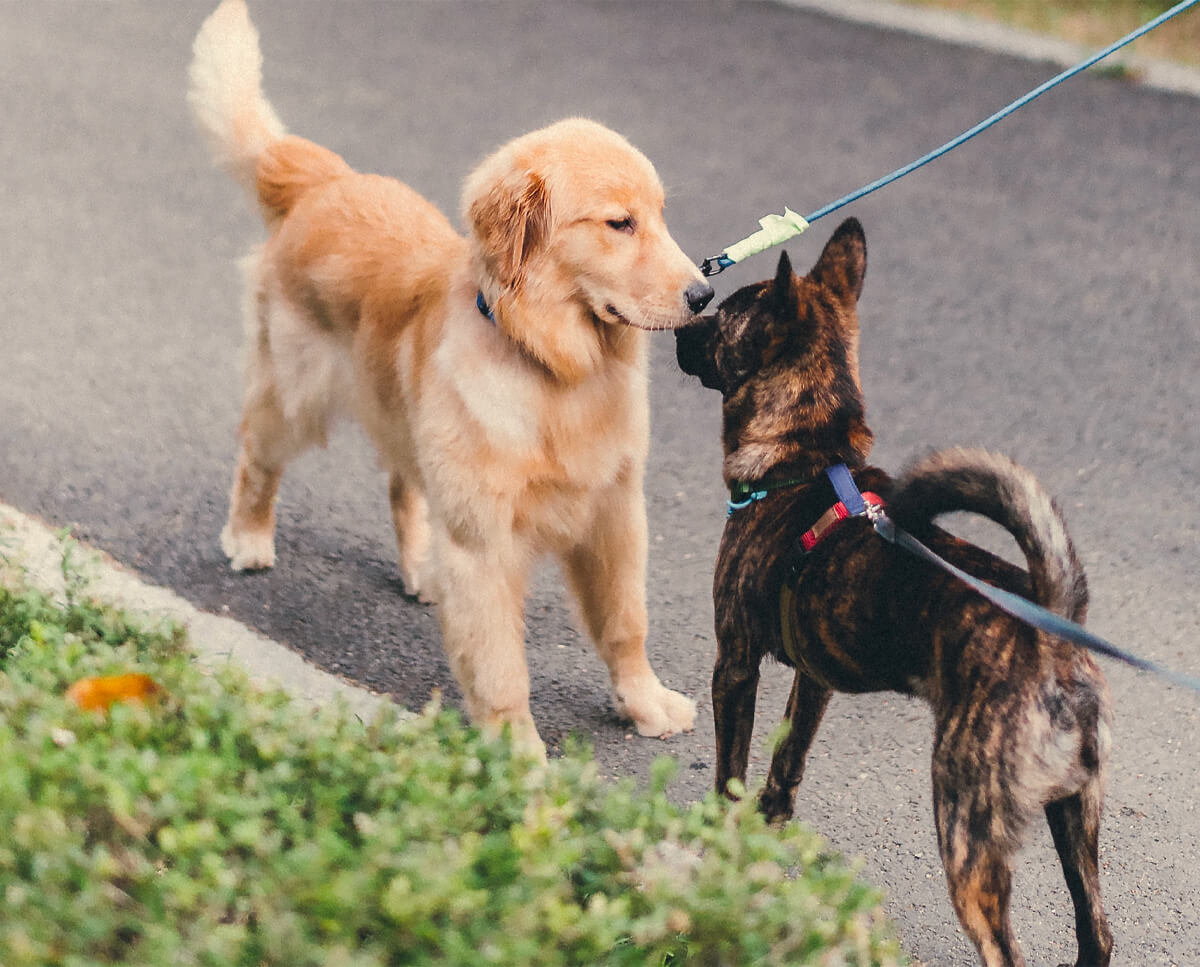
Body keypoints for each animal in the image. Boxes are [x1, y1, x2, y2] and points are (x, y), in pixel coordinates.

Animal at [676, 219, 1113, 967]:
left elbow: (730, 775)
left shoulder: (734, 664)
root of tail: (1053, 625)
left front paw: (721, 856)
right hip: (1073, 815)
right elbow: (786, 763)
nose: (679, 326)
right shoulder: (815, 678)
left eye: (720, 321)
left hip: (967, 828)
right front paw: (767, 833)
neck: (806, 458)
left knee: (1006, 948)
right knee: (1097, 930)